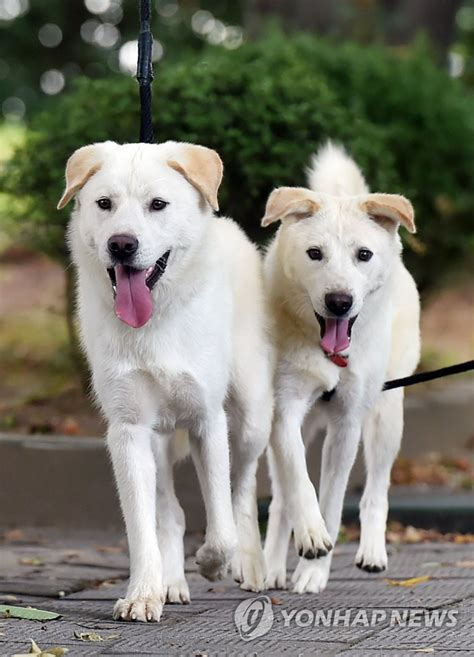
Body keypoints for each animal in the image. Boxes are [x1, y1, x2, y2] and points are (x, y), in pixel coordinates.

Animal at [57, 138, 272, 620]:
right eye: (104, 204)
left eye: (157, 204)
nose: (121, 244)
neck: (154, 320)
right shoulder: (128, 431)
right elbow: (143, 527)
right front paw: (143, 593)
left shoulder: (208, 421)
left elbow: (222, 525)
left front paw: (213, 561)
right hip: (158, 439)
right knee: (170, 513)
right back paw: (172, 582)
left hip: (251, 416)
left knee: (243, 488)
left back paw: (249, 563)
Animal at [262, 144, 420, 596]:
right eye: (315, 253)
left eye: (363, 255)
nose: (339, 301)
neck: (326, 353)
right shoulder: (284, 411)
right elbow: (300, 482)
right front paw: (310, 536)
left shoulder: (347, 422)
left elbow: (333, 501)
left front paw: (315, 571)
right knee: (281, 497)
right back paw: (271, 567)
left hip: (387, 415)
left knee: (375, 493)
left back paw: (372, 552)